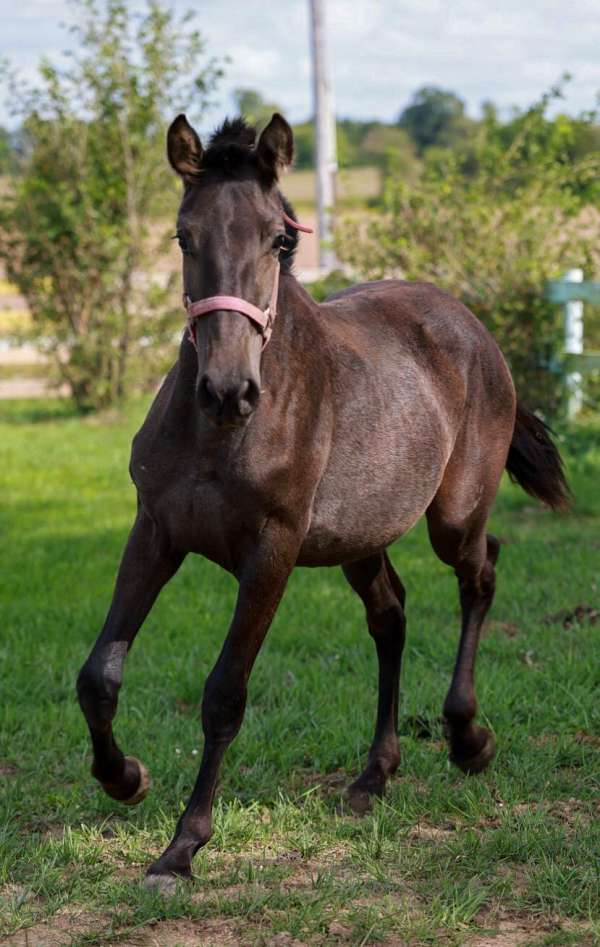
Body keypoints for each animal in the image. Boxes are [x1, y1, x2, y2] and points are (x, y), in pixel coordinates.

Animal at [76, 113, 569, 892]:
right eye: (183, 237)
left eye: (281, 239)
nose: (227, 390)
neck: (220, 436)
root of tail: (470, 322)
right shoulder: (155, 530)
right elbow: (99, 674)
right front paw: (126, 778)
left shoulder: (271, 551)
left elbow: (224, 693)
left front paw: (182, 847)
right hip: (358, 538)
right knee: (391, 615)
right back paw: (375, 775)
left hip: (453, 516)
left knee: (481, 571)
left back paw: (468, 738)